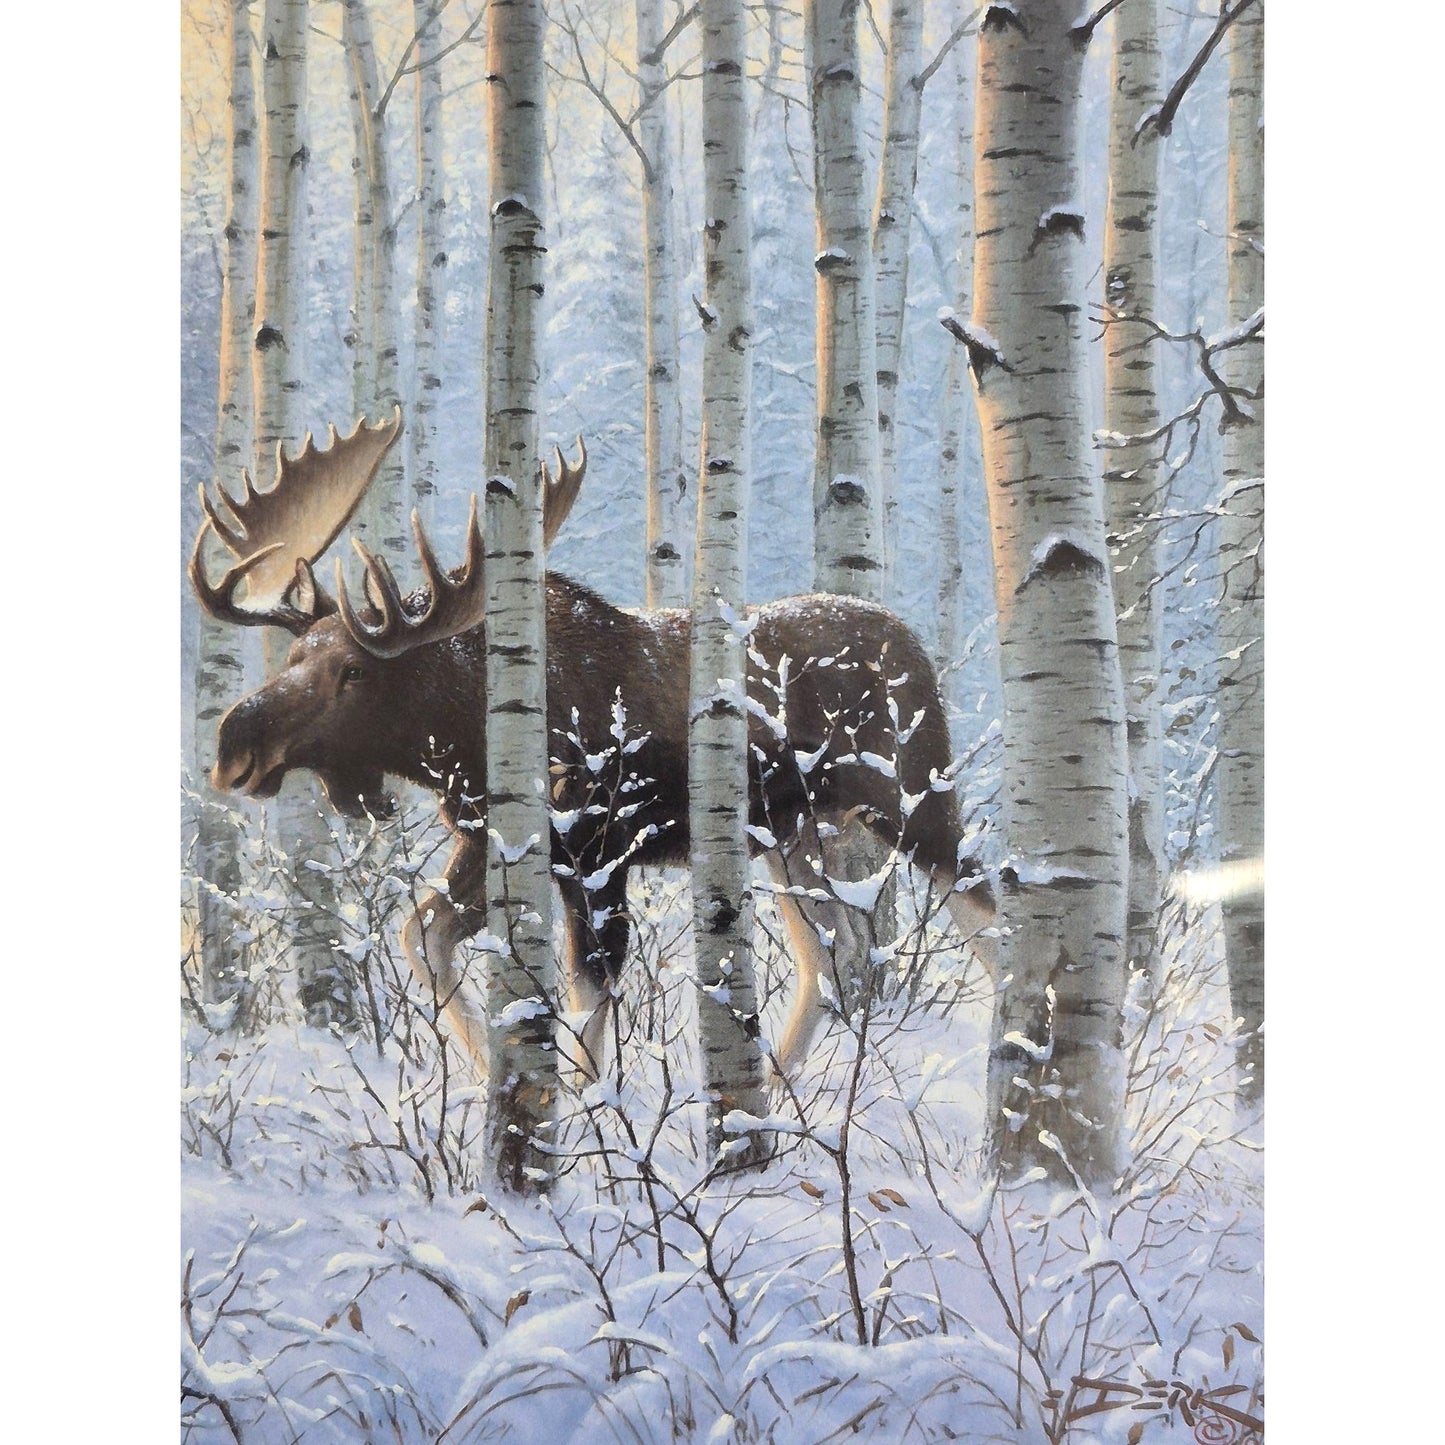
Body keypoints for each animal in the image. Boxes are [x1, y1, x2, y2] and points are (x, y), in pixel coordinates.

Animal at [191, 409, 999, 1084]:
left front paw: (582, 1111)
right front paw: (494, 1080)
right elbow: (422, 936)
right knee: (837, 954)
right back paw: (776, 1095)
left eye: (353, 671)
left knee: (985, 909)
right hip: (791, 832)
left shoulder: (597, 847)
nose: (234, 745)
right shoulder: (491, 842)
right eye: (296, 657)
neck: (462, 736)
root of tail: (916, 648)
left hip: (914, 801)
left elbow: (588, 990)